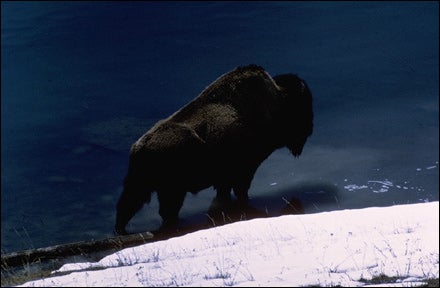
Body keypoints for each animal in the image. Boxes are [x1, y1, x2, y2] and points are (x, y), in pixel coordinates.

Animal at [113, 64, 312, 235]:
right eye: (303, 105)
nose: (310, 129)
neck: (278, 100)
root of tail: (140, 147)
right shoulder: (244, 170)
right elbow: (240, 190)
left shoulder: (225, 179)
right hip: (172, 191)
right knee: (164, 211)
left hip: (140, 187)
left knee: (128, 207)